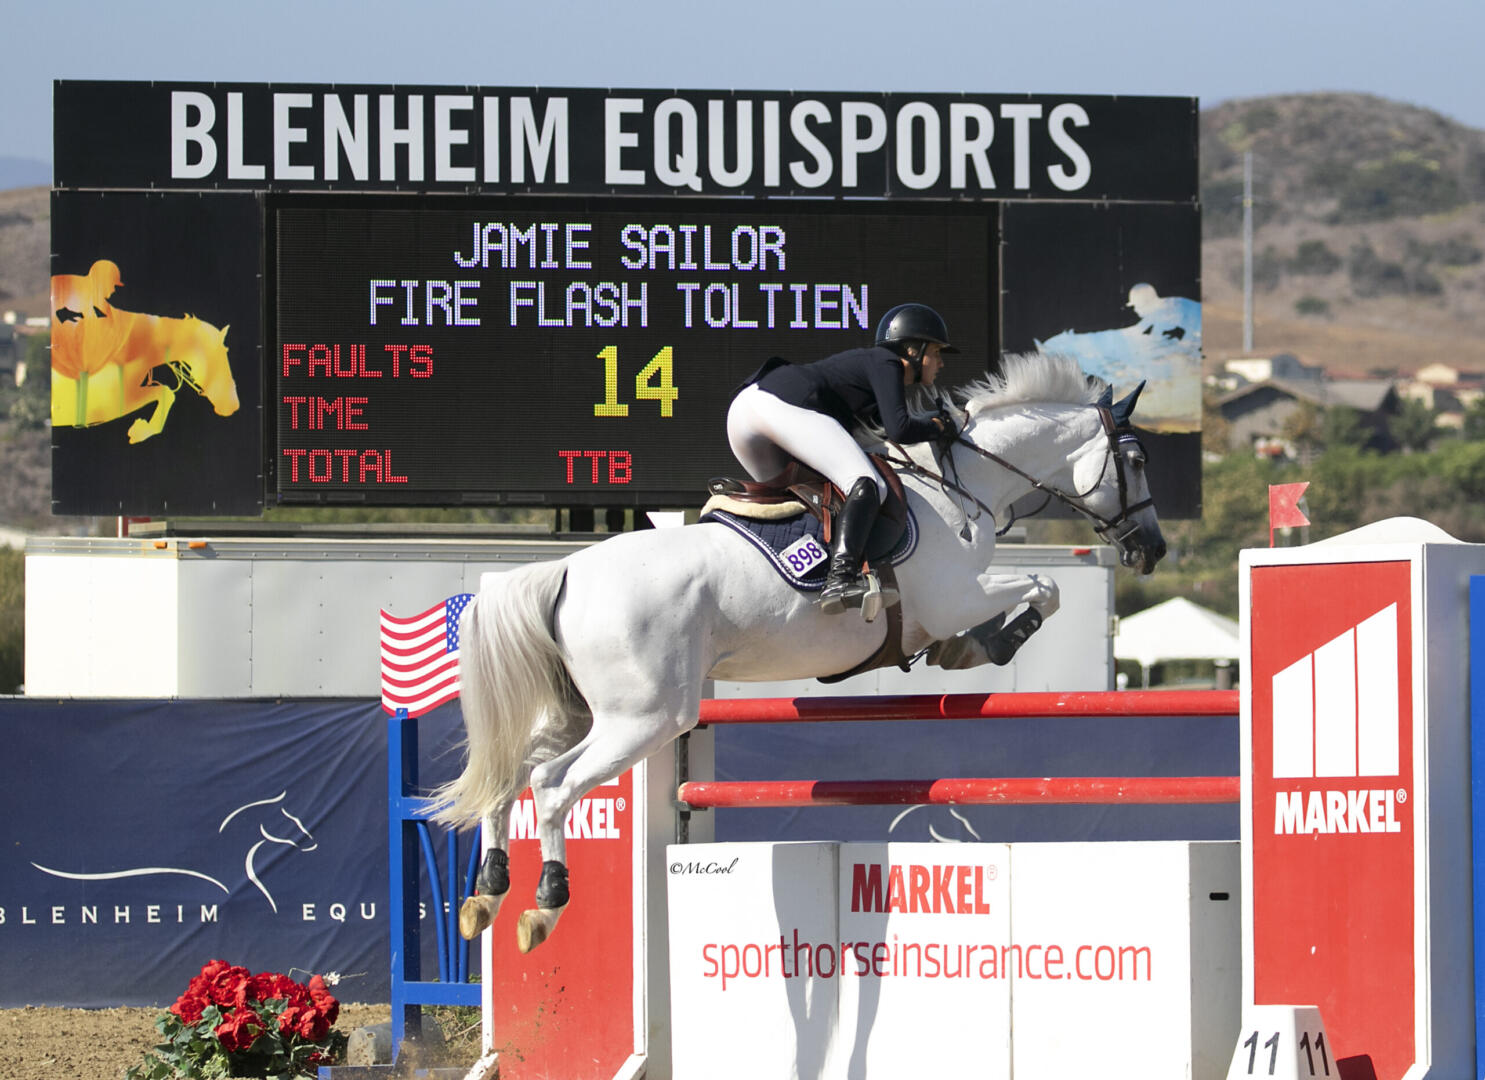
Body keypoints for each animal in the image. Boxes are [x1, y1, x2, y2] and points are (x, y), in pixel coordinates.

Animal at [433, 350, 1164, 950]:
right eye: (1134, 462)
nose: (1151, 549)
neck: (960, 487)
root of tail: (566, 570)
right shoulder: (951, 598)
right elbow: (1044, 587)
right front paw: (996, 642)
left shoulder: (950, 604)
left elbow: (1024, 598)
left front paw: (968, 650)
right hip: (646, 717)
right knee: (552, 786)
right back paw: (544, 904)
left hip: (583, 712)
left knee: (509, 775)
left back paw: (488, 893)